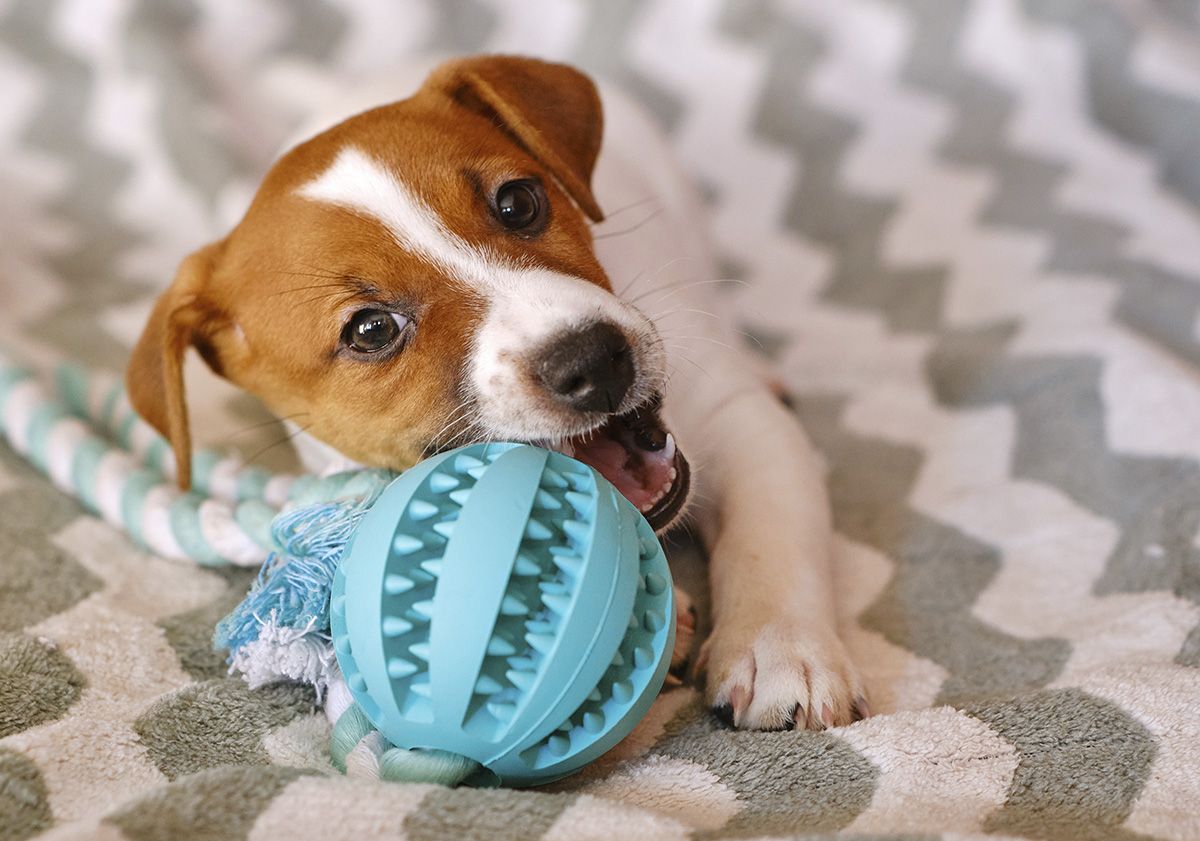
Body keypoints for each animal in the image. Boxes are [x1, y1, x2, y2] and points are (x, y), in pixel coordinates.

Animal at [129, 53, 864, 729]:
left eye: (519, 202)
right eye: (370, 330)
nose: (595, 360)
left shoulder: (738, 421)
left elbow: (769, 535)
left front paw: (779, 648)